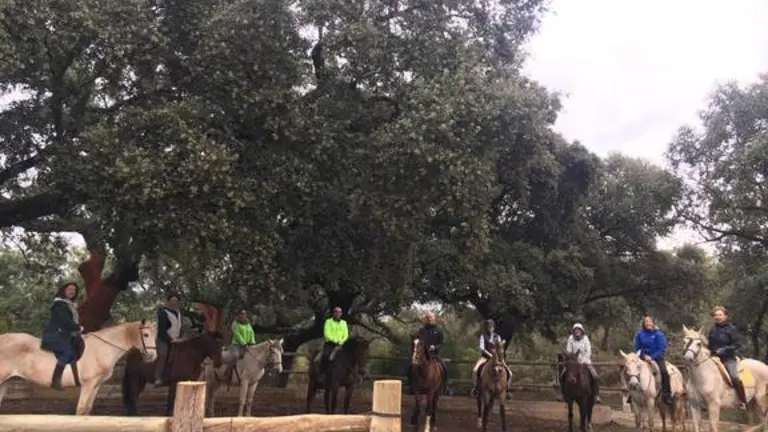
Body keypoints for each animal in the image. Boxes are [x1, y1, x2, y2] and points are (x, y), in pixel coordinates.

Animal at [0, 320, 157, 415]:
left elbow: (87, 410)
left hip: (5, 382)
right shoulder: (88, 384)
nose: (152, 356)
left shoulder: (96, 386)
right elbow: (81, 410)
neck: (101, 348)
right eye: (146, 334)